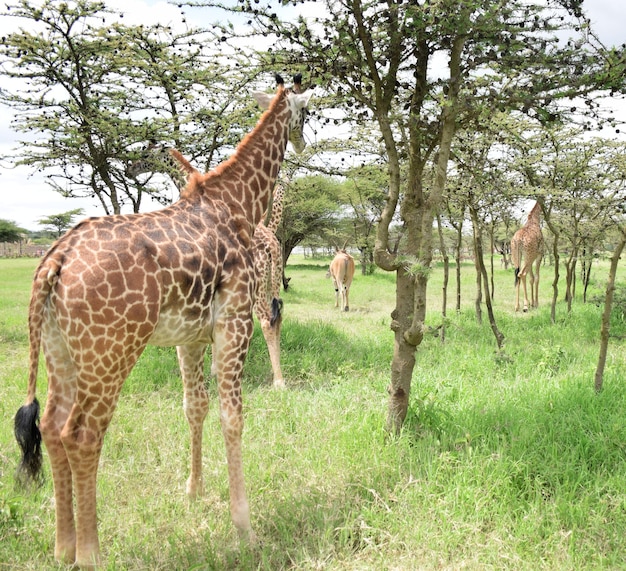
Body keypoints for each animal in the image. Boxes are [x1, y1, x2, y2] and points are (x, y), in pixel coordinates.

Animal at [12, 75, 310, 568]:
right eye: (307, 112)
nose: (304, 141)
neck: (240, 205)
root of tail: (55, 259)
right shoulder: (235, 324)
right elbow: (233, 416)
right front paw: (244, 527)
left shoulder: (190, 337)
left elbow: (195, 407)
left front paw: (193, 491)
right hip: (111, 351)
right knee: (83, 434)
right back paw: (91, 554)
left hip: (59, 348)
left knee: (52, 426)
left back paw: (63, 547)